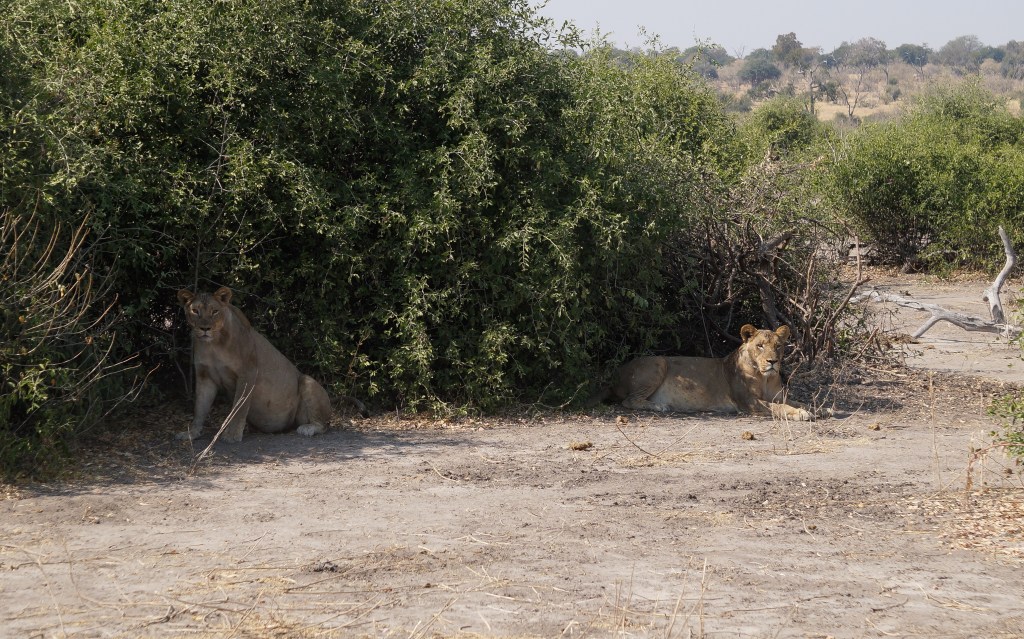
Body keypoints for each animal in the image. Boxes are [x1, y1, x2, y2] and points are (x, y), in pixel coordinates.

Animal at [177, 287, 366, 443]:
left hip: (306, 381)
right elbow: (199, 408)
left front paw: (232, 435)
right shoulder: (204, 377)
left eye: (215, 311)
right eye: (195, 311)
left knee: (325, 424)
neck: (213, 345)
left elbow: (239, 408)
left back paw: (308, 428)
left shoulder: (248, 374)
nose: (205, 328)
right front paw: (192, 433)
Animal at [588, 324, 816, 421]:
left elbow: (794, 401)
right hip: (659, 362)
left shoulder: (777, 394)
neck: (764, 378)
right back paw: (660, 406)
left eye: (778, 346)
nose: (773, 361)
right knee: (628, 401)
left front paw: (813, 409)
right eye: (760, 346)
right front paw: (800, 414)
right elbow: (779, 407)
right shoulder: (748, 402)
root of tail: (614, 374)